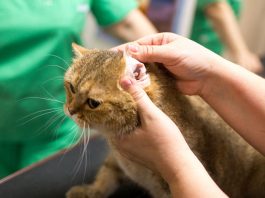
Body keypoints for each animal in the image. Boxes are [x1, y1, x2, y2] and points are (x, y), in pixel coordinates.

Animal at [64, 43, 264, 198]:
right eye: (72, 88)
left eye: (93, 103)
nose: (70, 110)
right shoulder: (116, 161)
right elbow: (106, 175)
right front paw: (91, 191)